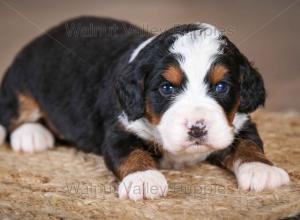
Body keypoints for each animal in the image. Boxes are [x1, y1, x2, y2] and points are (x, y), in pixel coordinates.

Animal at [0, 16, 290, 200]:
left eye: (221, 87)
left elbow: (249, 143)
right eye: (167, 88)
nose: (197, 129)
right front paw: (144, 179)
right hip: (21, 85)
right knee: (11, 112)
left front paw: (261, 169)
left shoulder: (238, 123)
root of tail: (44, 35)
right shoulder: (119, 129)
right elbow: (131, 153)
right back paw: (30, 135)